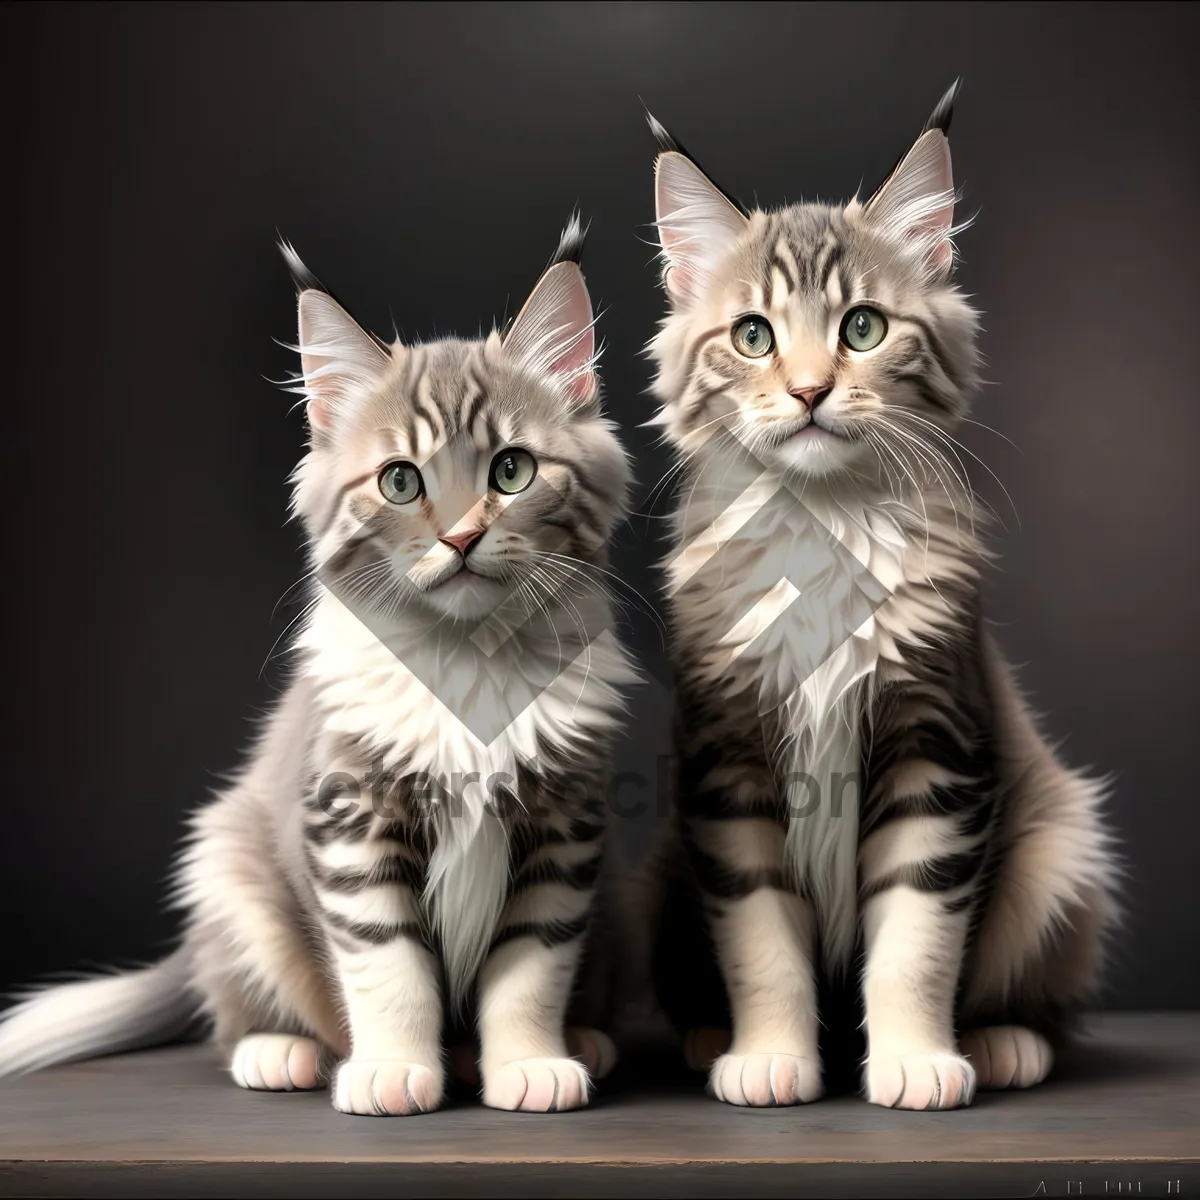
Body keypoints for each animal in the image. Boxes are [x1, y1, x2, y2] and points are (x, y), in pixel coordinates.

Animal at [0, 218, 638, 1113]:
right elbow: (388, 965)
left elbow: (531, 965)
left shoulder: (564, 829)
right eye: (401, 483)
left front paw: (530, 1065)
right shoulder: (349, 820)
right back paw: (283, 1054)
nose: (461, 538)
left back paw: (577, 1041)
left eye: (510, 470)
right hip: (228, 866)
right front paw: (394, 1072)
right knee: (239, 1016)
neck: (466, 663)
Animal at [643, 84, 1118, 1108]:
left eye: (861, 328)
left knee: (1038, 999)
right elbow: (761, 943)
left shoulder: (935, 745)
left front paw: (915, 1062)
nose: (811, 391)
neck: (819, 528)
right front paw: (772, 1057)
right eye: (752, 337)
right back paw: (707, 1038)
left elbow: (916, 938)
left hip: (1059, 853)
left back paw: (1002, 1044)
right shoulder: (730, 766)